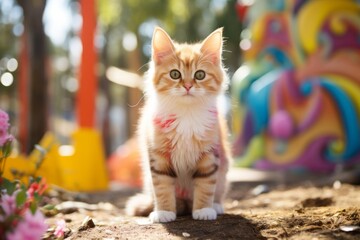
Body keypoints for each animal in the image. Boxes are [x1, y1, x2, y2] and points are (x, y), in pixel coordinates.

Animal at [125, 26, 232, 223]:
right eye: (175, 74)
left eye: (200, 75)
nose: (188, 86)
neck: (186, 114)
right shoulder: (158, 156)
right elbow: (162, 187)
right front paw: (164, 212)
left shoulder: (210, 154)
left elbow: (206, 185)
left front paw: (203, 210)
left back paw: (215, 205)